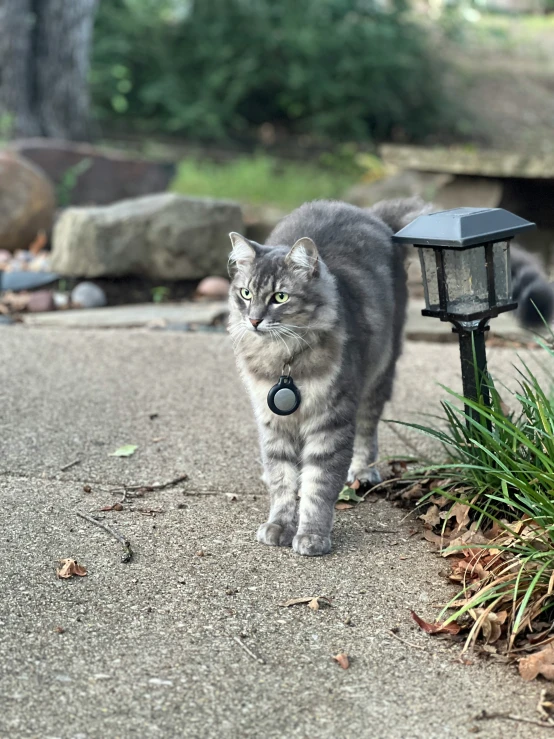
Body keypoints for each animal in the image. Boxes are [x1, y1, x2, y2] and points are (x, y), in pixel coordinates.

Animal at [225, 199, 552, 556]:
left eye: (280, 297)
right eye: (245, 294)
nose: (254, 320)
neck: (284, 360)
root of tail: (369, 212)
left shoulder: (331, 422)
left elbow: (317, 486)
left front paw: (312, 536)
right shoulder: (273, 424)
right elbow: (283, 482)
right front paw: (279, 526)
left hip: (378, 376)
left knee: (367, 431)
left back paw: (363, 472)